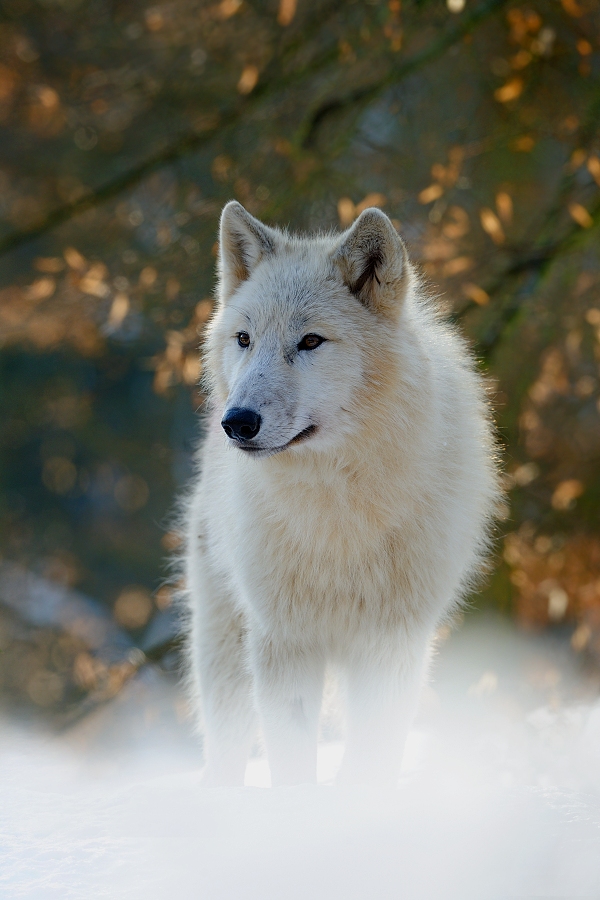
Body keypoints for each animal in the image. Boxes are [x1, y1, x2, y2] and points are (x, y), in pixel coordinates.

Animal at [183, 201, 500, 787]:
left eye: (311, 341)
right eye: (244, 339)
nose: (237, 423)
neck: (338, 513)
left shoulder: (391, 644)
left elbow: (371, 761)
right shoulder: (284, 641)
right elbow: (291, 765)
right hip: (224, 648)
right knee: (225, 749)